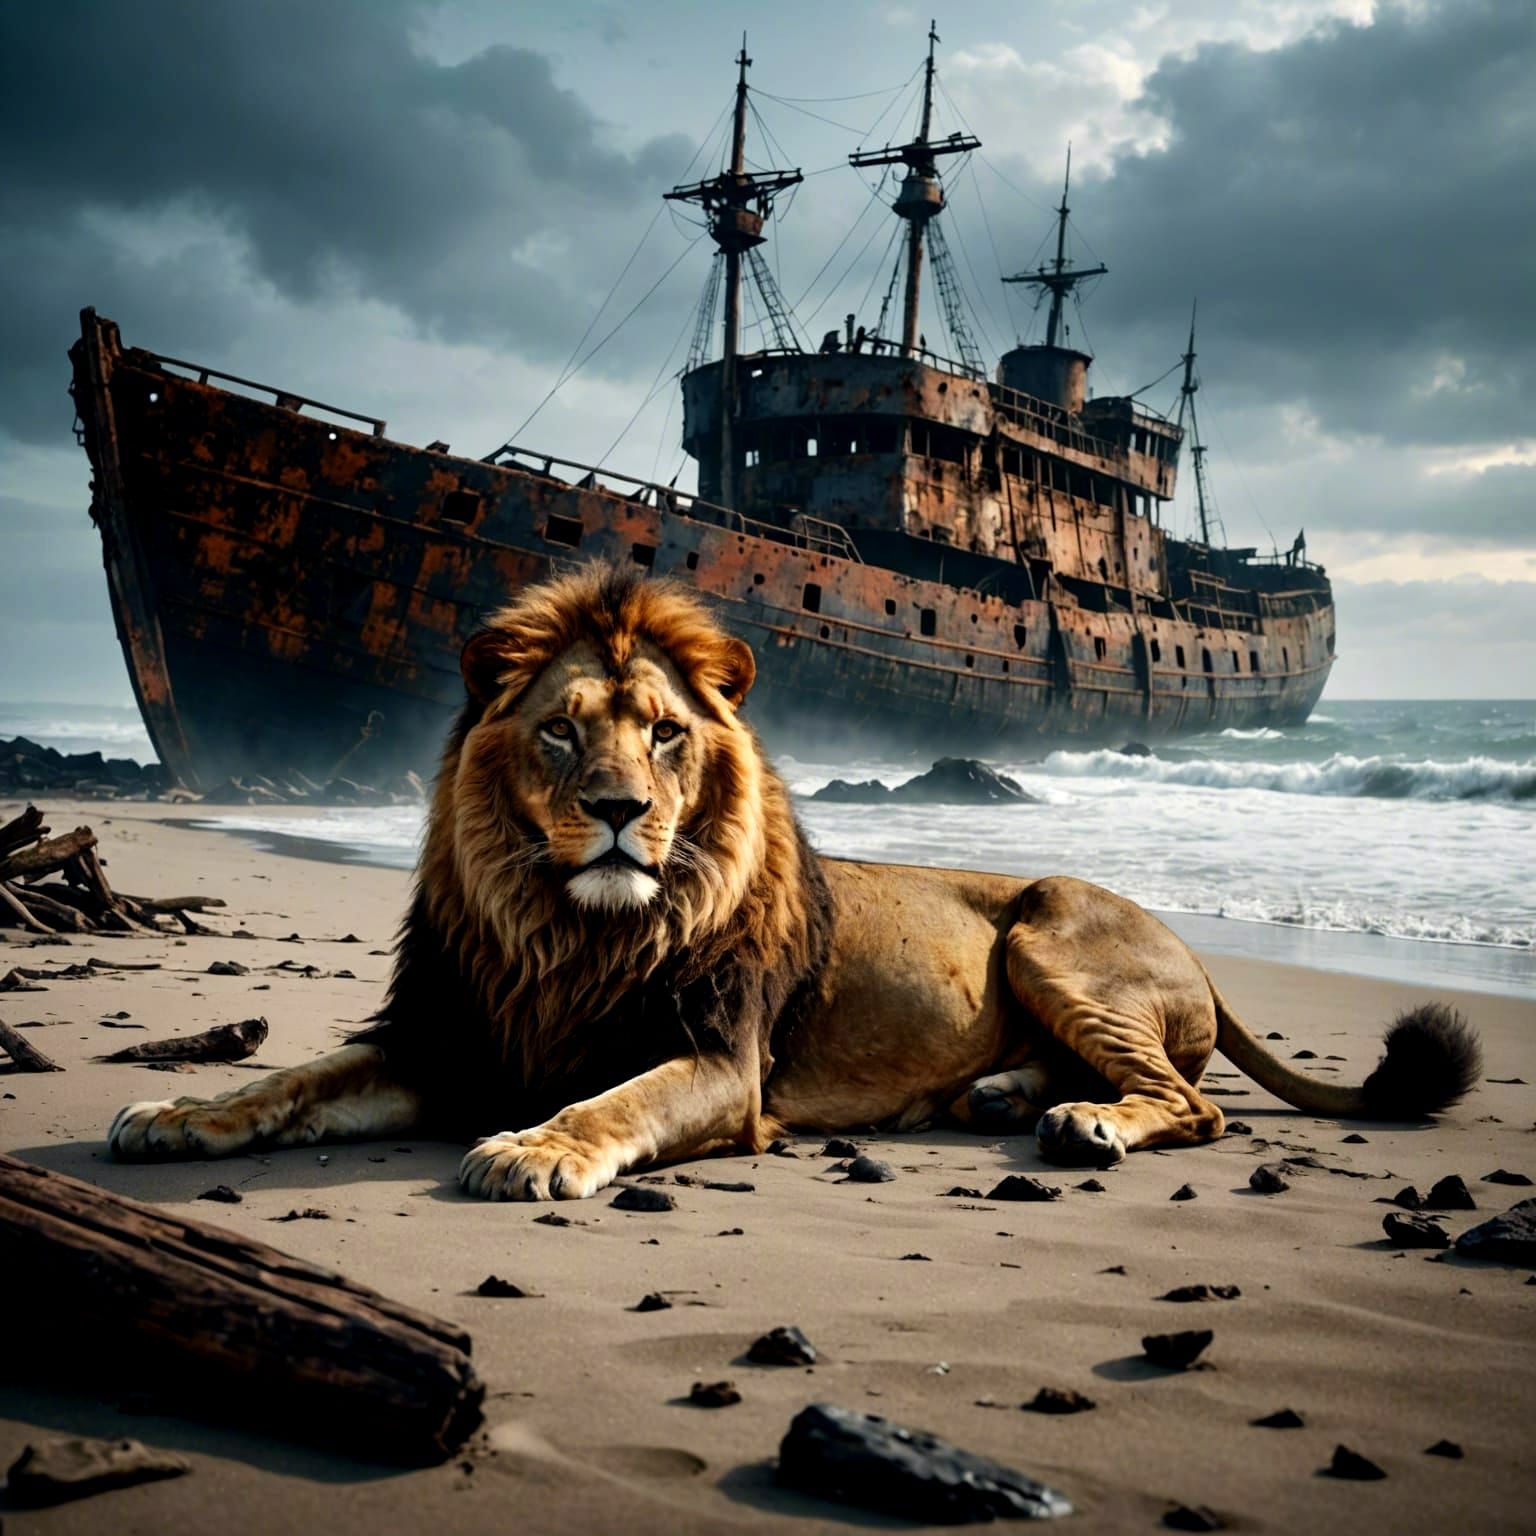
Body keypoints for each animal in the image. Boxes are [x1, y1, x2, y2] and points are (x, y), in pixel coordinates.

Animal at [110, 564, 1480, 1197]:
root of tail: (1194, 949)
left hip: (1047, 930)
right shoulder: (444, 1037)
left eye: (667, 734)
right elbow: (290, 1080)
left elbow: (612, 1102)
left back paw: (1085, 1119)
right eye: (561, 733)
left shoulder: (725, 1066)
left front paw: (534, 1149)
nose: (619, 813)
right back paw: (1009, 1095)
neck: (571, 931)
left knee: (1194, 1106)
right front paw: (177, 1113)